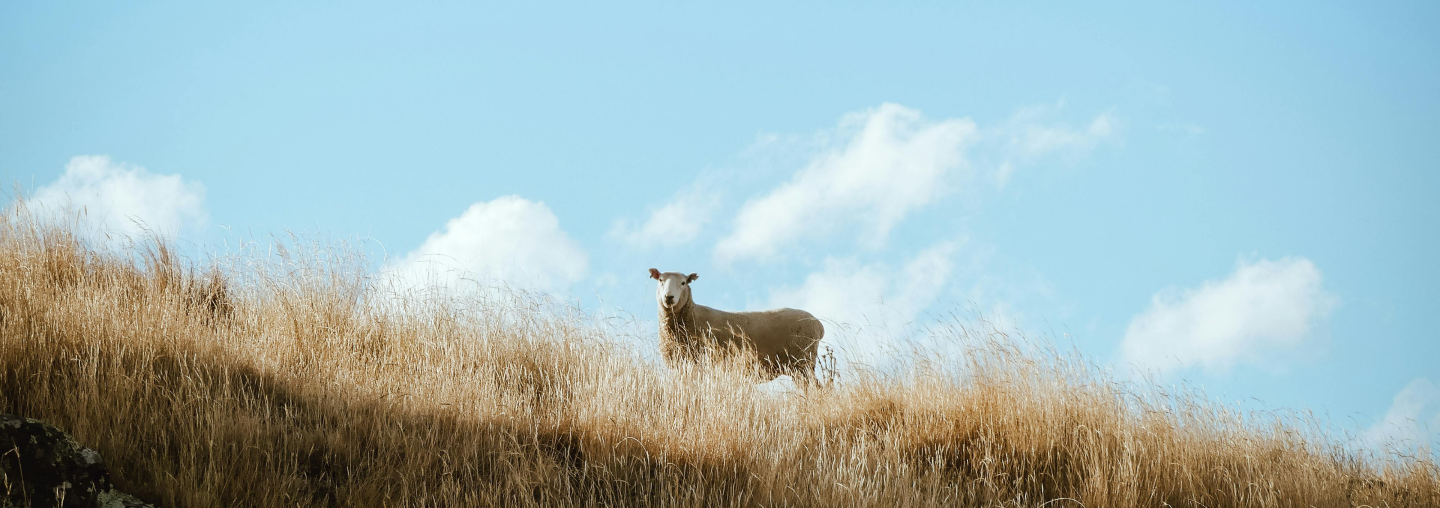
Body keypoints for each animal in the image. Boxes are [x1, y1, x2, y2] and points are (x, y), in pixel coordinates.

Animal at [650, 269, 823, 379]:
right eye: (660, 280)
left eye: (684, 282)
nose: (669, 297)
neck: (691, 315)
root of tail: (818, 325)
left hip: (803, 363)